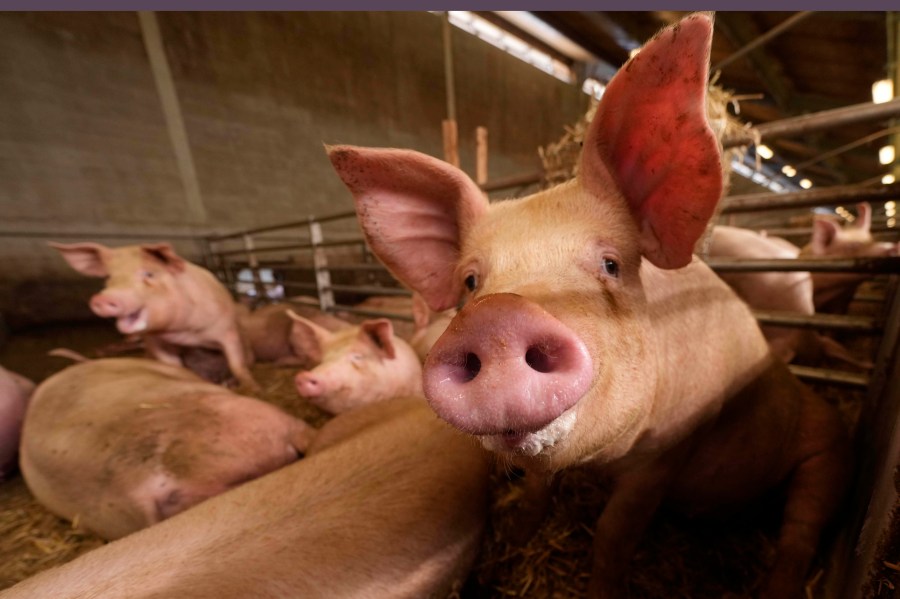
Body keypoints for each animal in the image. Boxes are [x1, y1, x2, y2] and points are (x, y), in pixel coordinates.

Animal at [48, 241, 258, 392]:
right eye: (108, 278)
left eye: (149, 274)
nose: (102, 299)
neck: (185, 333)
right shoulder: (156, 342)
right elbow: (174, 366)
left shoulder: (226, 329)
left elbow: (236, 363)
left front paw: (250, 388)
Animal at [326, 15, 848, 599]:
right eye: (470, 282)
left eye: (611, 264)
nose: (495, 318)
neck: (603, 463)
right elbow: (536, 492)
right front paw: (520, 535)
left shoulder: (669, 451)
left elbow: (614, 532)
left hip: (827, 450)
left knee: (801, 528)